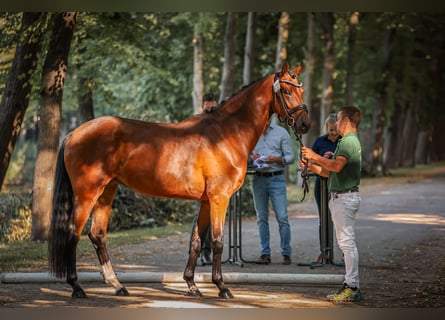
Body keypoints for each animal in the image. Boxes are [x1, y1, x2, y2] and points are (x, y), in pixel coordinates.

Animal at [48, 61, 310, 298]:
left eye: (301, 90)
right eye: (287, 91)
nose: (305, 124)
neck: (226, 133)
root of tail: (74, 133)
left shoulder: (205, 201)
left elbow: (196, 241)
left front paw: (192, 285)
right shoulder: (219, 198)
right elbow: (216, 241)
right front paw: (222, 287)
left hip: (107, 191)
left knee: (98, 234)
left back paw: (117, 285)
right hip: (88, 193)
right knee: (72, 232)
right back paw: (77, 287)